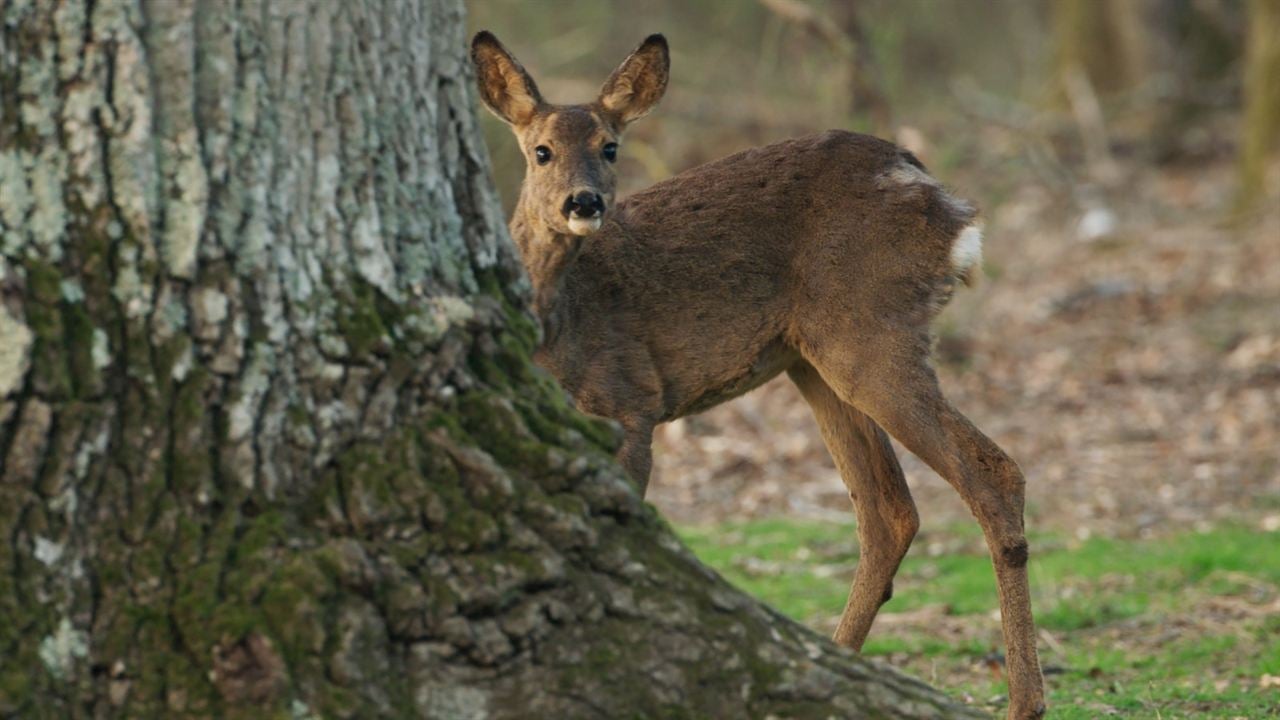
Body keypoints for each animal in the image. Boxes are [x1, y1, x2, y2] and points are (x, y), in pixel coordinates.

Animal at [476, 30, 1044, 712]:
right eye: (541, 151)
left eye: (610, 147)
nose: (583, 201)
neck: (557, 322)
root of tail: (949, 208)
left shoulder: (630, 400)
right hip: (814, 359)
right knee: (889, 512)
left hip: (869, 333)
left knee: (992, 473)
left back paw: (1024, 701)